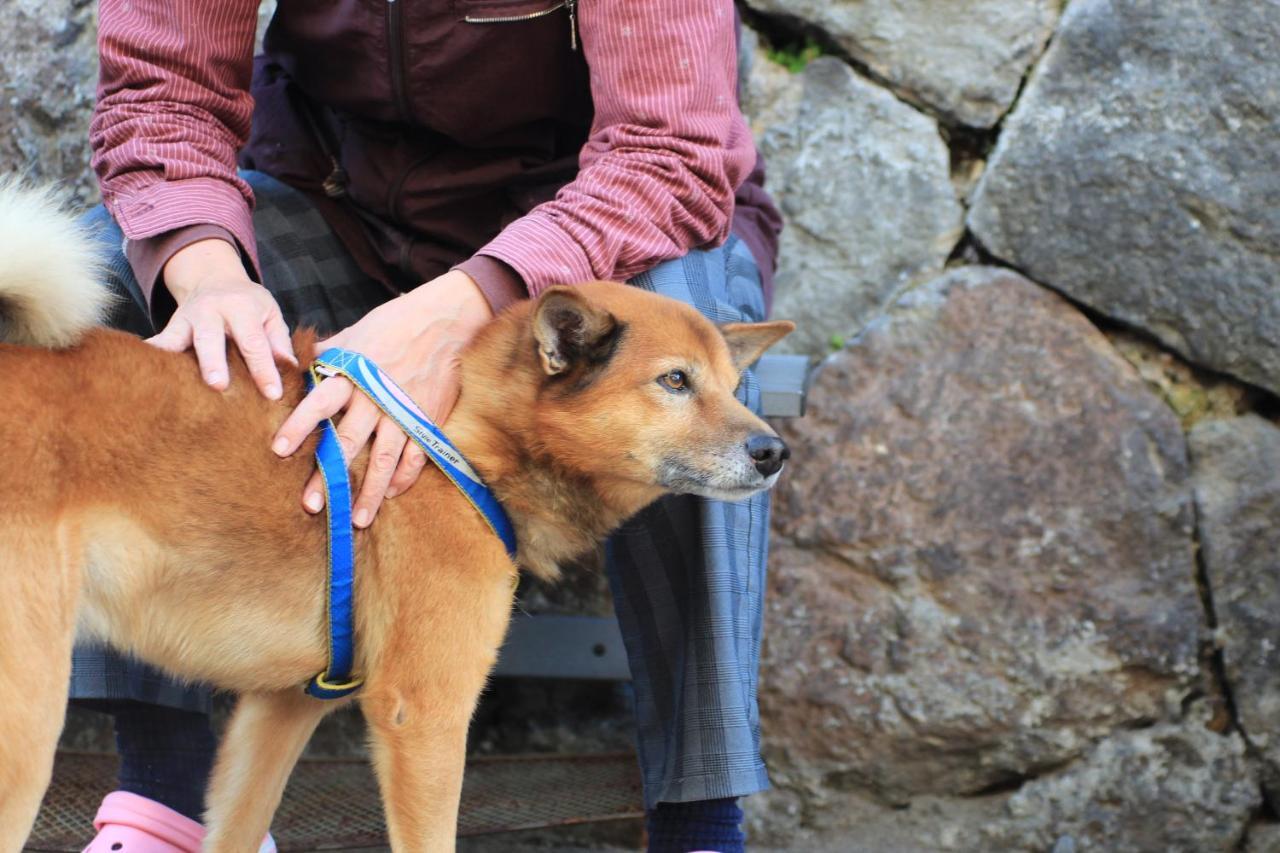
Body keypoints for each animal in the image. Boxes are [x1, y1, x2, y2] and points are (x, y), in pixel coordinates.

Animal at [0, 180, 788, 850]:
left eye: (731, 385)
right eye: (675, 381)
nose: (774, 450)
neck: (461, 441)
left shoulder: (280, 711)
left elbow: (234, 827)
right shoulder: (424, 714)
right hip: (28, 730)